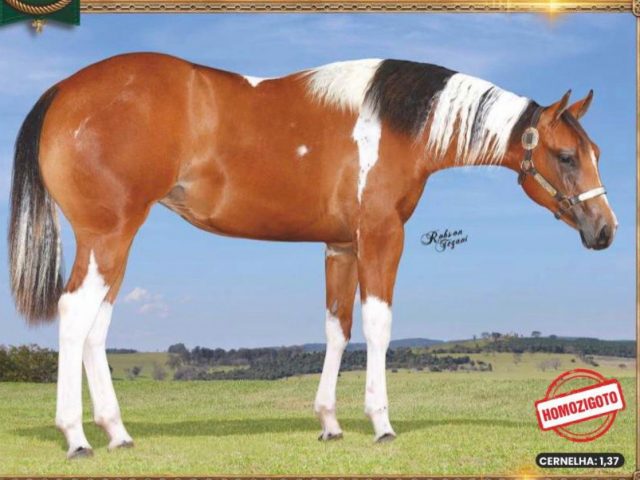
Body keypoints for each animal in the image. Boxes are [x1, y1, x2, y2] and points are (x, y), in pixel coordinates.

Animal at [8, 53, 617, 459]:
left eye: (594, 151)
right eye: (566, 156)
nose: (606, 231)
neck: (394, 123)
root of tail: (64, 89)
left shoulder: (341, 245)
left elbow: (336, 329)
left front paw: (329, 422)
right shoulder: (381, 236)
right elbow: (377, 326)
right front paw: (380, 423)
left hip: (115, 241)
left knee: (95, 327)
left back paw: (117, 433)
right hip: (108, 235)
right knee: (74, 314)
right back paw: (77, 437)